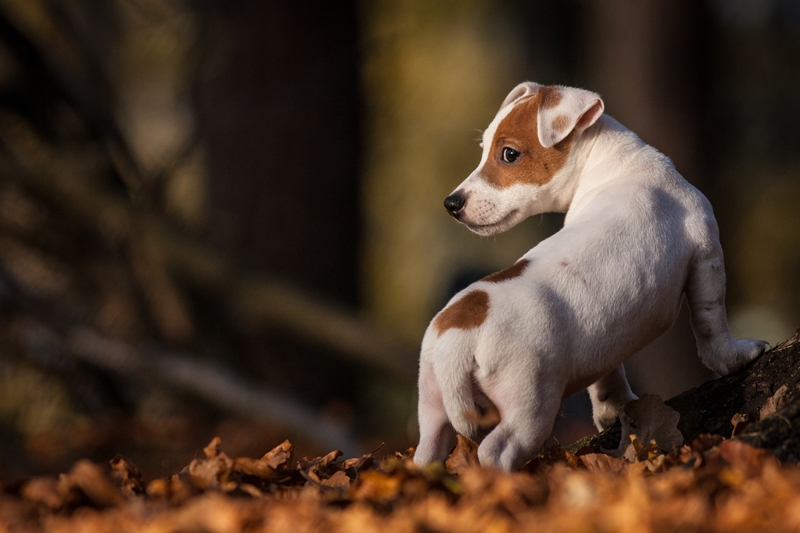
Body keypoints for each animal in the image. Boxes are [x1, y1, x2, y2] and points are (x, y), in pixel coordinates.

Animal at [416, 80, 764, 470]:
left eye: (508, 154)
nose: (452, 204)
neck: (618, 165)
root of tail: (460, 330)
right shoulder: (706, 253)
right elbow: (711, 321)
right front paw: (734, 357)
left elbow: (607, 374)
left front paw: (613, 409)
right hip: (529, 407)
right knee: (496, 451)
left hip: (432, 405)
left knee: (427, 451)